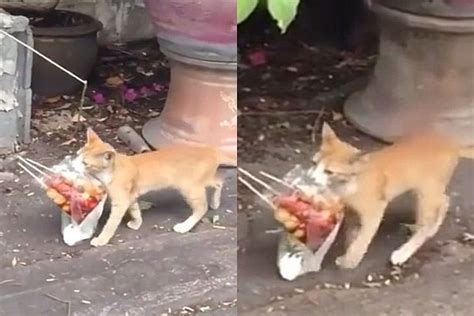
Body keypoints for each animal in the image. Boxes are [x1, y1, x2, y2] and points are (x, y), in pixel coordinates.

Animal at [74, 128, 237, 247]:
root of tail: (212, 150)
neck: (113, 170)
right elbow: (135, 210)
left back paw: (185, 226)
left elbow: (111, 224)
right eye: (77, 155)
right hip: (201, 182)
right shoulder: (130, 197)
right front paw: (137, 223)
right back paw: (215, 203)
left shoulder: (120, 202)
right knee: (219, 181)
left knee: (202, 207)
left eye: (85, 163)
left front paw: (101, 240)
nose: (74, 164)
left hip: (190, 188)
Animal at [312, 123, 472, 270]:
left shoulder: (375, 211)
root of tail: (452, 145)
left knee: (429, 220)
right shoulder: (352, 211)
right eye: (314, 163)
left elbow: (362, 238)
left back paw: (404, 252)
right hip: (423, 191)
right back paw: (430, 228)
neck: (349, 183)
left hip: (427, 193)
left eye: (329, 171)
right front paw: (350, 246)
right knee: (444, 201)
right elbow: (353, 234)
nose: (312, 177)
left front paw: (351, 260)